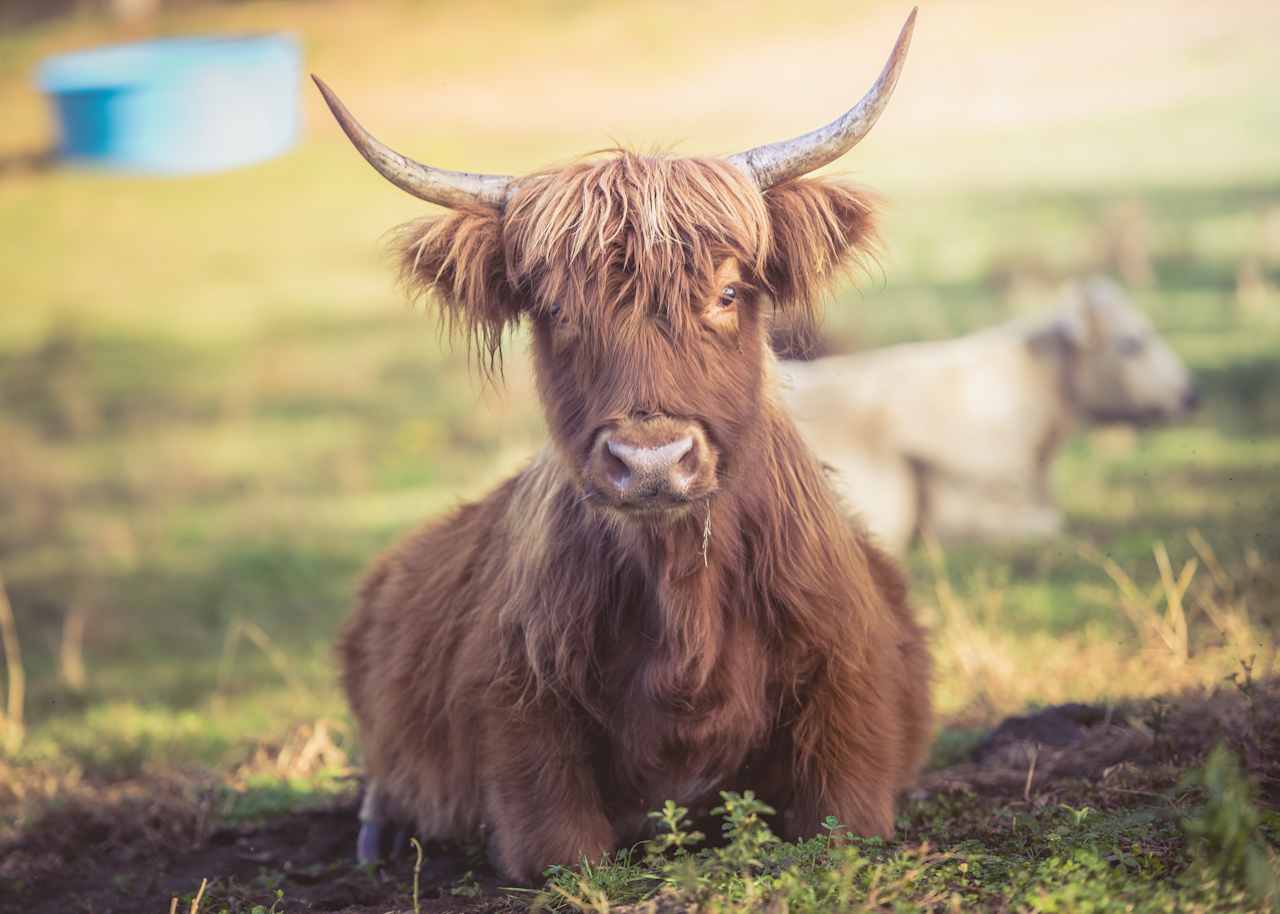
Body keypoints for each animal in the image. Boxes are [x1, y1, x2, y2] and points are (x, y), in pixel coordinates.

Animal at [317, 10, 931, 880]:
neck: (683, 605)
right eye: (554, 309)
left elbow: (839, 820)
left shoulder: (853, 720)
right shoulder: (521, 740)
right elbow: (565, 848)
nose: (649, 462)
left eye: (729, 292)